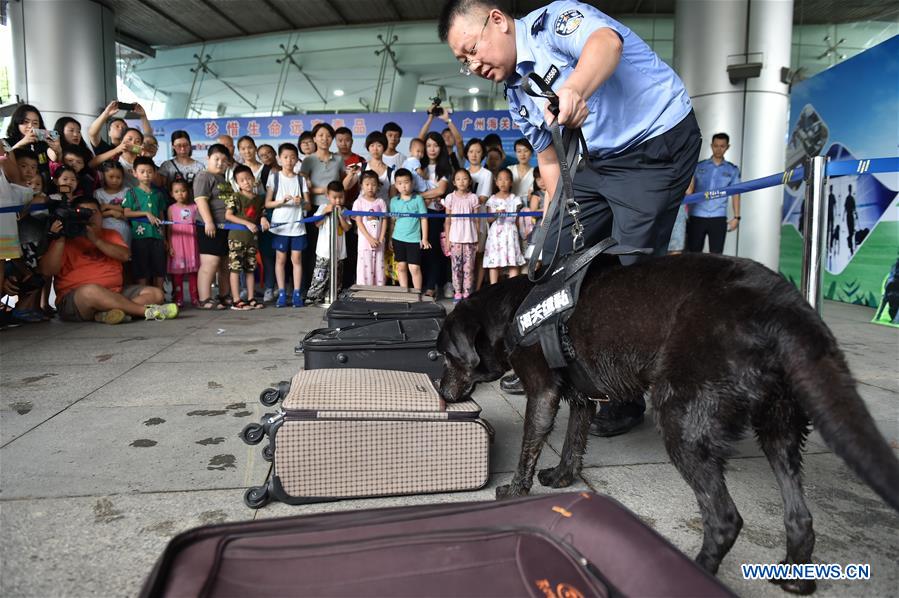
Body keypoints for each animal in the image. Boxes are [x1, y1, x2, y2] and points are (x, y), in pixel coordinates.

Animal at [438, 253, 899, 596]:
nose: (441, 391)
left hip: (682, 421)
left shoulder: (543, 392)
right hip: (780, 425)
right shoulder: (583, 397)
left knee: (725, 518)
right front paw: (563, 477)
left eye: (443, 355)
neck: (513, 311)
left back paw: (697, 570)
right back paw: (796, 577)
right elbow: (574, 440)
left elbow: (529, 447)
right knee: (799, 516)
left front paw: (515, 490)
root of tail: (783, 307)